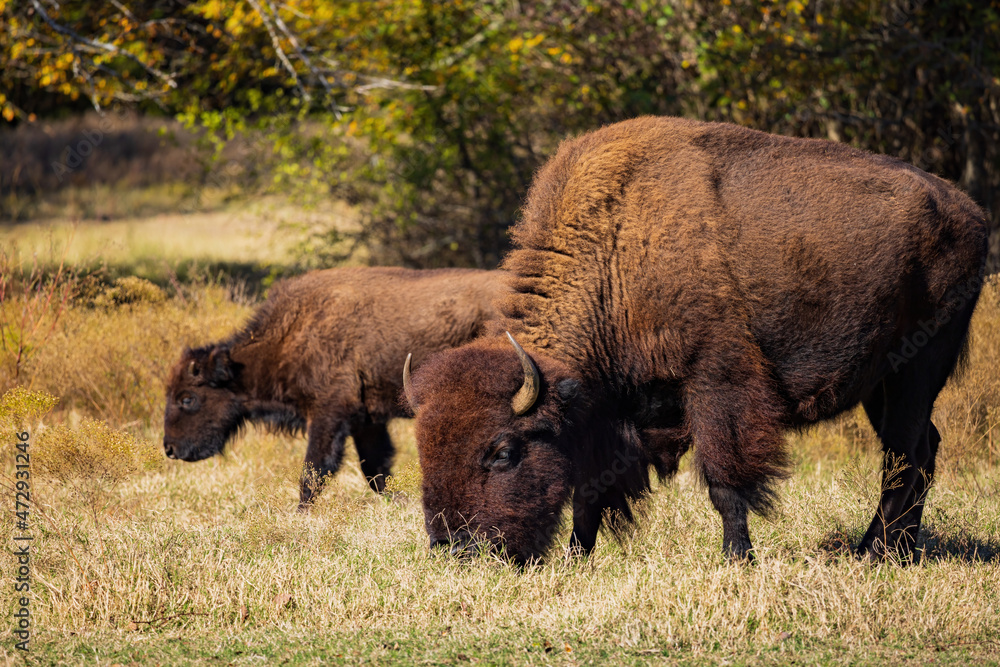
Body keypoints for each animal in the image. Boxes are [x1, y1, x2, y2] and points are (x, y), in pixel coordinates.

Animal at [166, 266, 508, 506]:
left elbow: (314, 470)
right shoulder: (366, 421)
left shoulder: (328, 414)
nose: (169, 448)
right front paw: (400, 501)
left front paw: (301, 512)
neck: (294, 331)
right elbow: (376, 469)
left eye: (187, 398)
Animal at [402, 117, 988, 568]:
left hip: (918, 367)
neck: (617, 249)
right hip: (880, 383)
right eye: (425, 447)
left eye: (502, 451)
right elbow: (590, 492)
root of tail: (972, 213)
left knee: (904, 455)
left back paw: (874, 554)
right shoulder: (605, 417)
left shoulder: (716, 383)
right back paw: (899, 552)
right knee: (922, 451)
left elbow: (725, 482)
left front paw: (736, 559)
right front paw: (576, 557)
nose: (457, 549)